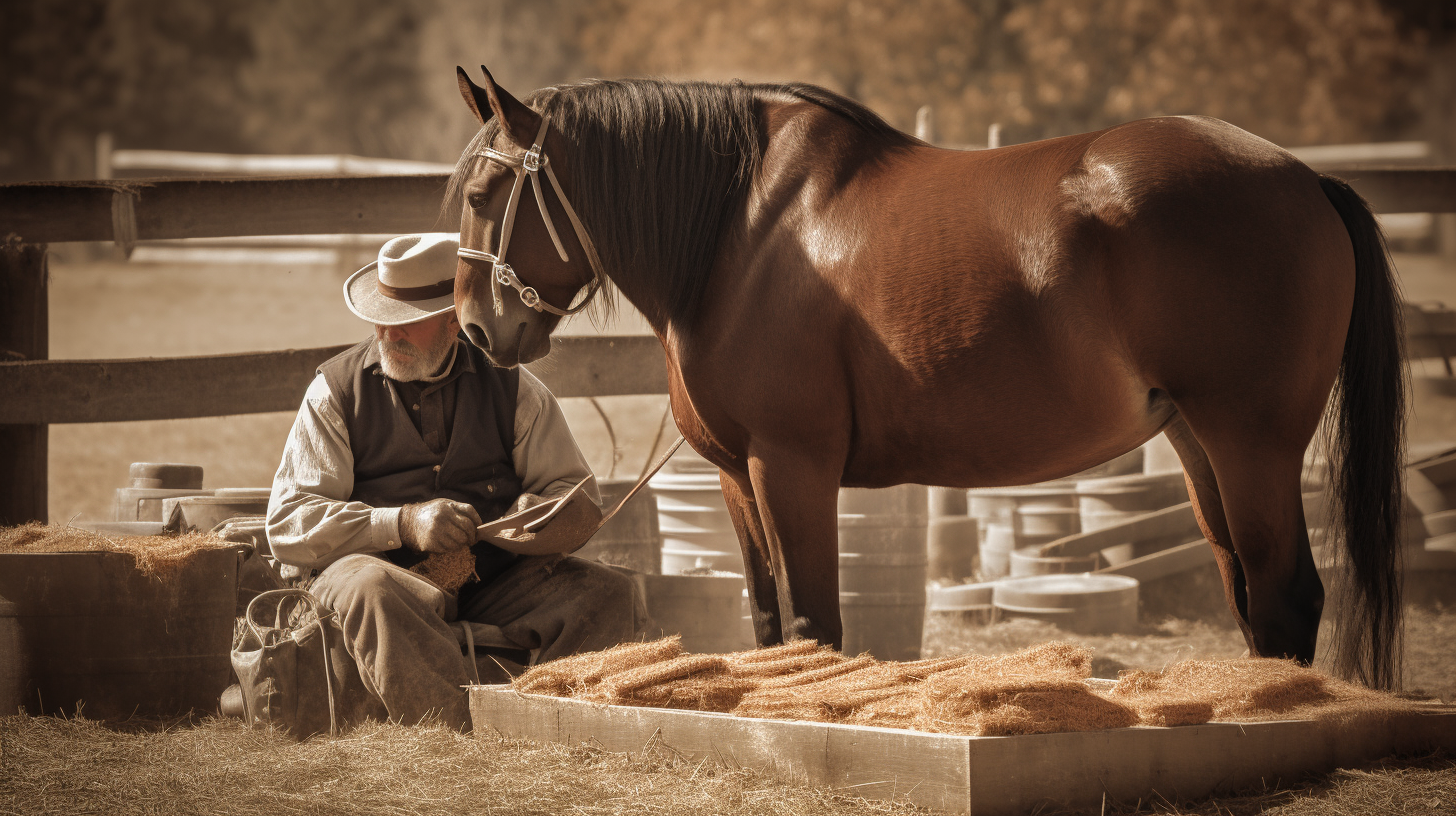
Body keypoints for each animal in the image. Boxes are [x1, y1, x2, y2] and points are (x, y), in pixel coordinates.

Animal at [448, 65, 1403, 687]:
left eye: (486, 193)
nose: (473, 328)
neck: (738, 232)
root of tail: (1306, 179)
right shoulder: (735, 478)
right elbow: (769, 626)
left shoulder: (791, 467)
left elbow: (817, 627)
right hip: (1199, 443)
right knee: (1249, 594)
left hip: (1251, 444)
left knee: (1285, 596)